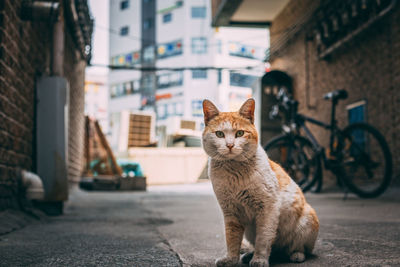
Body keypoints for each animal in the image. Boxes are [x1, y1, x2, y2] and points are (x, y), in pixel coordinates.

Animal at [202, 99, 320, 266]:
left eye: (240, 133)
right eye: (219, 134)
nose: (230, 145)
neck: (234, 173)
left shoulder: (268, 210)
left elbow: (264, 238)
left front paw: (259, 259)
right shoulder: (230, 212)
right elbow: (231, 239)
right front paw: (231, 259)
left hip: (306, 221)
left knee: (298, 248)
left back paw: (296, 255)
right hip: (250, 231)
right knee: (273, 249)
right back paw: (248, 255)